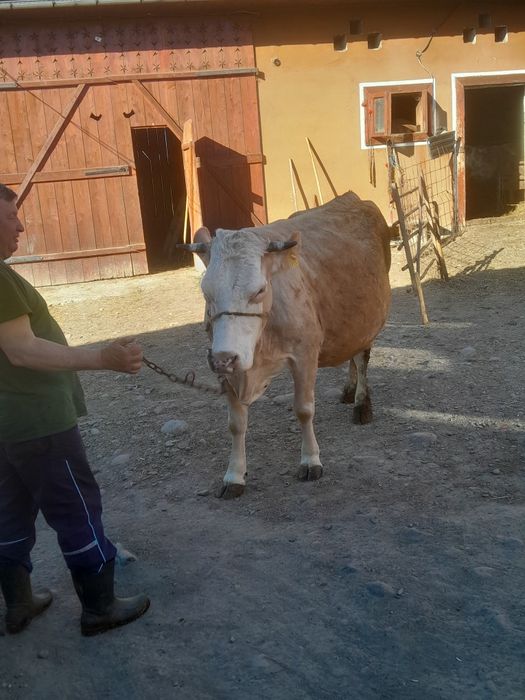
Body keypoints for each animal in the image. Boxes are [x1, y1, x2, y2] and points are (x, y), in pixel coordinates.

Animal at [180, 192, 391, 498]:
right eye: (206, 291)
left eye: (259, 290)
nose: (223, 358)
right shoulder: (231, 365)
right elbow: (236, 424)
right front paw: (234, 475)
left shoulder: (305, 354)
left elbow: (303, 410)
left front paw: (310, 460)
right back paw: (348, 390)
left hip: (368, 318)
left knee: (362, 357)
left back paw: (362, 404)